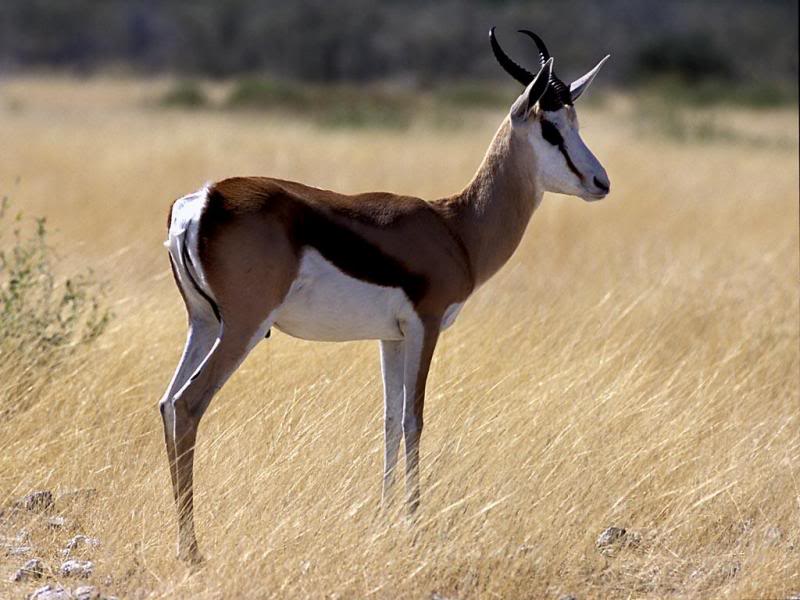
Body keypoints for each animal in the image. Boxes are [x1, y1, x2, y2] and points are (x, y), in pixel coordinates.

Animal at [159, 28, 610, 563]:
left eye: (576, 123)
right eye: (551, 130)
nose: (600, 182)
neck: (456, 228)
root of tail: (202, 201)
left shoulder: (389, 338)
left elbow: (389, 420)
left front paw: (383, 518)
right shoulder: (425, 326)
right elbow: (415, 419)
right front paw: (413, 522)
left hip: (204, 324)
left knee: (167, 404)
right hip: (243, 328)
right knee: (189, 405)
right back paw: (192, 550)